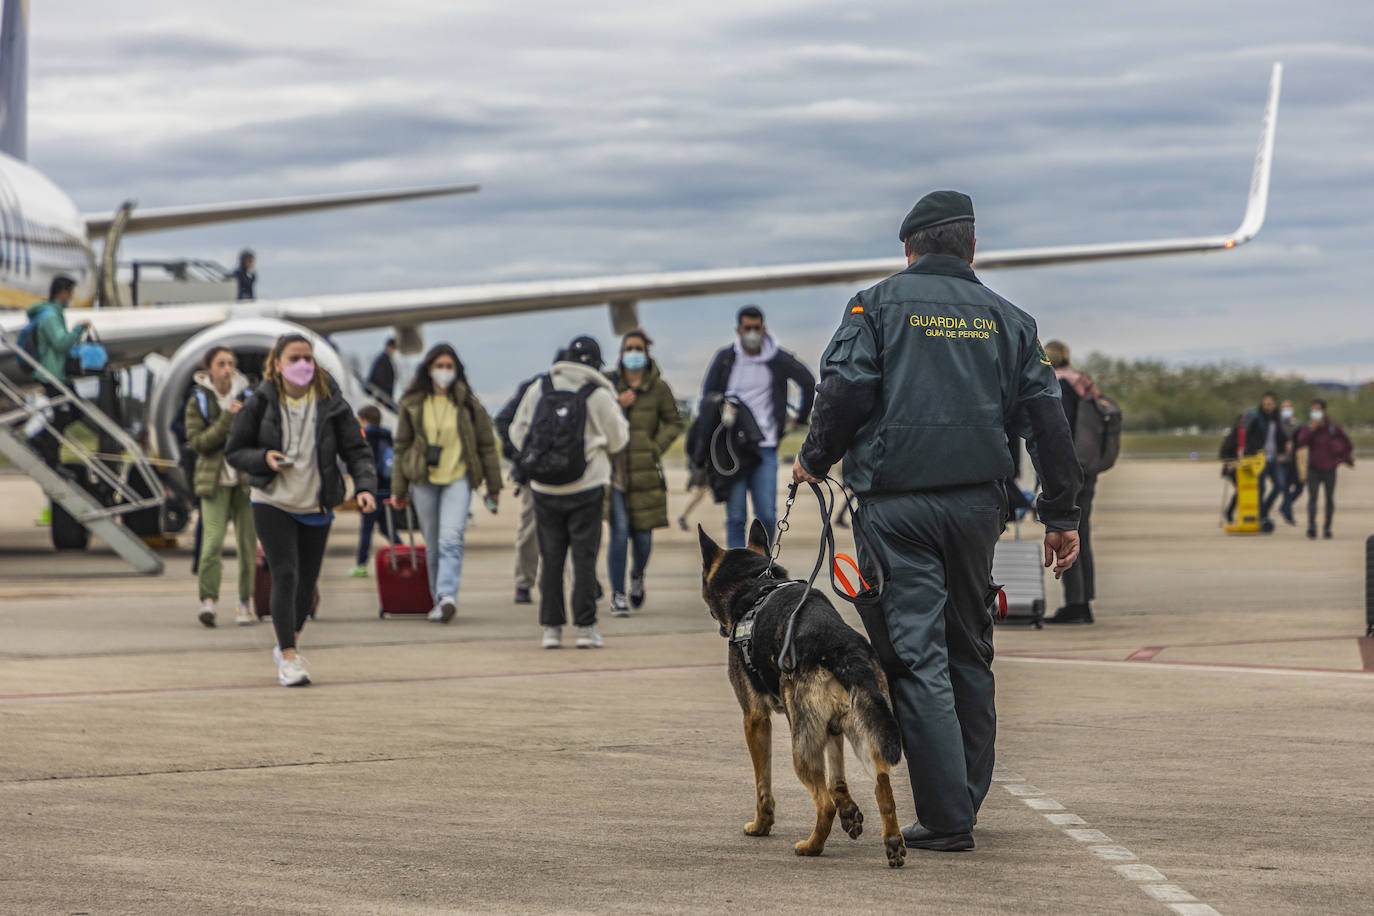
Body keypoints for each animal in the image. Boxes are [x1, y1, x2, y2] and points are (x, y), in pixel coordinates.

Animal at [703, 519, 906, 873]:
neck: (756, 583)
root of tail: (840, 646)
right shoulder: (833, 727)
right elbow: (838, 777)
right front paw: (849, 809)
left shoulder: (755, 720)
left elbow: (762, 782)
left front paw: (761, 825)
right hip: (862, 730)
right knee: (881, 782)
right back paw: (892, 841)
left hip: (802, 745)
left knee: (823, 804)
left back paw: (812, 847)